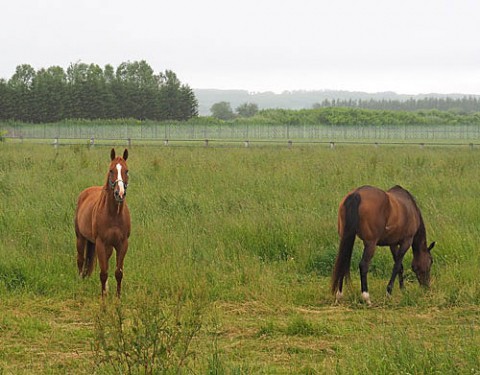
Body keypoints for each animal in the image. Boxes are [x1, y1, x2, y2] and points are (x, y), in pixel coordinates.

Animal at [73, 148, 130, 298]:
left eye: (126, 171)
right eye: (111, 170)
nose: (119, 193)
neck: (114, 214)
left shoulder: (122, 244)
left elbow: (118, 273)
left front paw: (117, 298)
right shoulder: (100, 242)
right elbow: (103, 273)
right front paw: (103, 298)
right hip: (81, 238)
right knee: (81, 260)